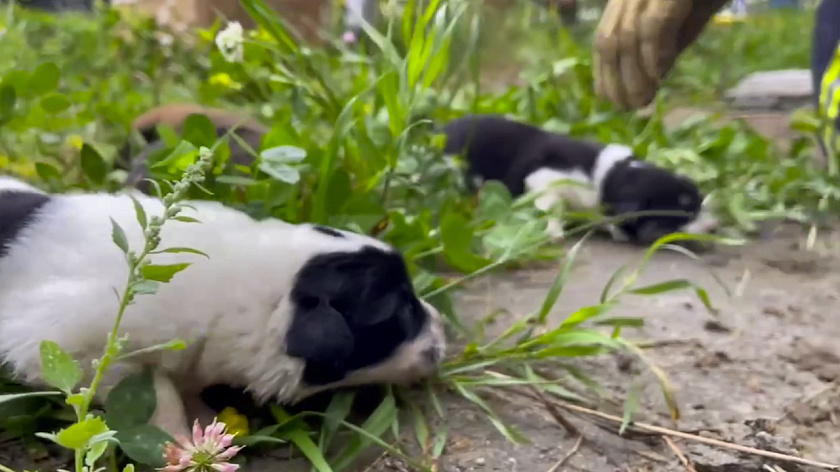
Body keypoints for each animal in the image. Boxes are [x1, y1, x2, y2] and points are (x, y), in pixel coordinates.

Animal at [440, 114, 716, 245]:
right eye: (682, 211)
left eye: (698, 199)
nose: (715, 228)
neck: (609, 177)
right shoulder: (543, 179)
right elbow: (552, 207)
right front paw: (555, 231)